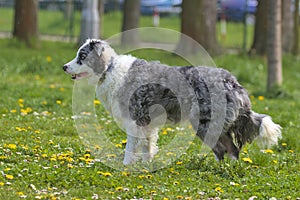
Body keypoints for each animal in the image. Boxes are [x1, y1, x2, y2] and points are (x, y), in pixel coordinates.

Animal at [62, 38, 282, 164]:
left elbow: (131, 146)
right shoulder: (148, 123)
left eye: (81, 56)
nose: (64, 67)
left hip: (204, 124)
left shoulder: (134, 120)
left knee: (224, 149)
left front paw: (126, 166)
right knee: (231, 150)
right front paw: (147, 163)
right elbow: (148, 145)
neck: (109, 68)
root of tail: (231, 81)